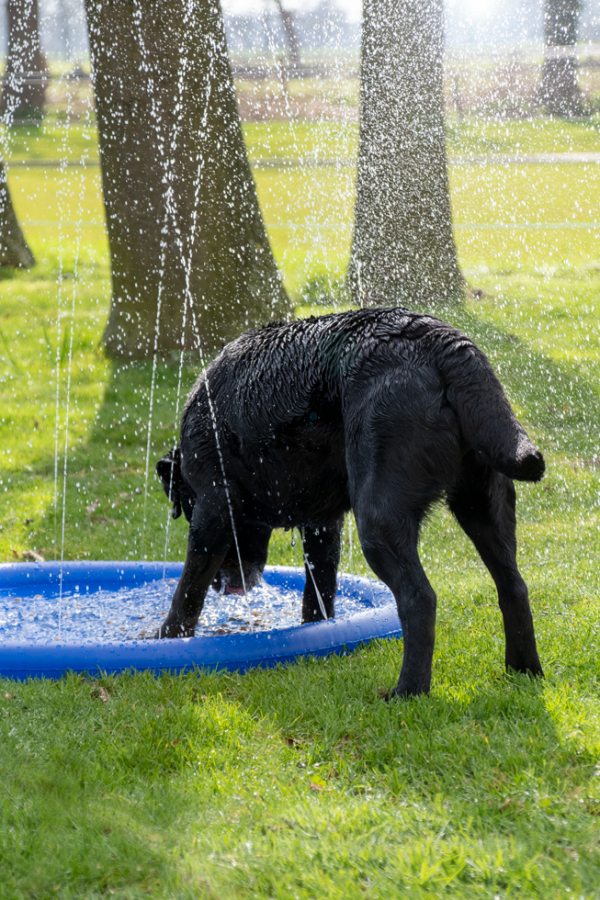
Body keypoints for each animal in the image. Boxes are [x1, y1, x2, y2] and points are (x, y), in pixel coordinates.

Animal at [157, 306, 548, 700]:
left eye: (185, 506)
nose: (224, 587)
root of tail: (441, 342)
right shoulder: (322, 524)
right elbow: (319, 589)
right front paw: (316, 634)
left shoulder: (213, 507)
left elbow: (188, 589)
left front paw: (165, 639)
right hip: (483, 503)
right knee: (513, 586)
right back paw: (522, 671)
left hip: (379, 519)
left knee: (420, 598)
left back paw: (408, 691)